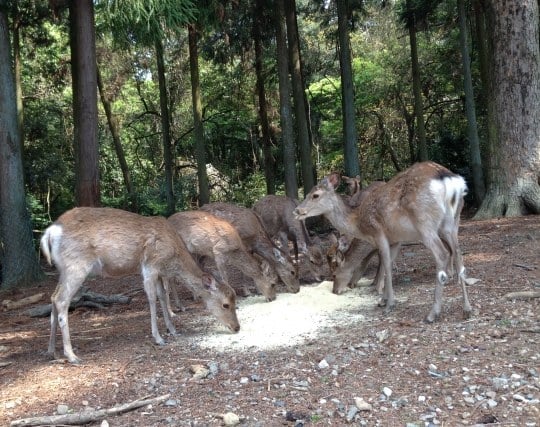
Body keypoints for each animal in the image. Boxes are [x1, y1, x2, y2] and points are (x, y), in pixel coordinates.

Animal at [40, 207, 238, 364]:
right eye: (226, 304)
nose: (237, 327)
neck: (173, 254)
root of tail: (50, 232)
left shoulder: (158, 272)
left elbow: (162, 296)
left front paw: (173, 330)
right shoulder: (151, 265)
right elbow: (151, 298)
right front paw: (158, 338)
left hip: (63, 269)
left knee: (53, 297)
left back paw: (52, 351)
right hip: (77, 265)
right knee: (62, 300)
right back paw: (72, 355)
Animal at [296, 162, 472, 322]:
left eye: (315, 195)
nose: (297, 210)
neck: (359, 223)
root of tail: (450, 180)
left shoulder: (379, 233)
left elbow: (386, 264)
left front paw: (389, 303)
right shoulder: (395, 240)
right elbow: (389, 263)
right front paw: (383, 299)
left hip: (425, 223)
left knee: (442, 254)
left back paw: (432, 314)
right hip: (452, 222)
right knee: (458, 253)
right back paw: (467, 309)